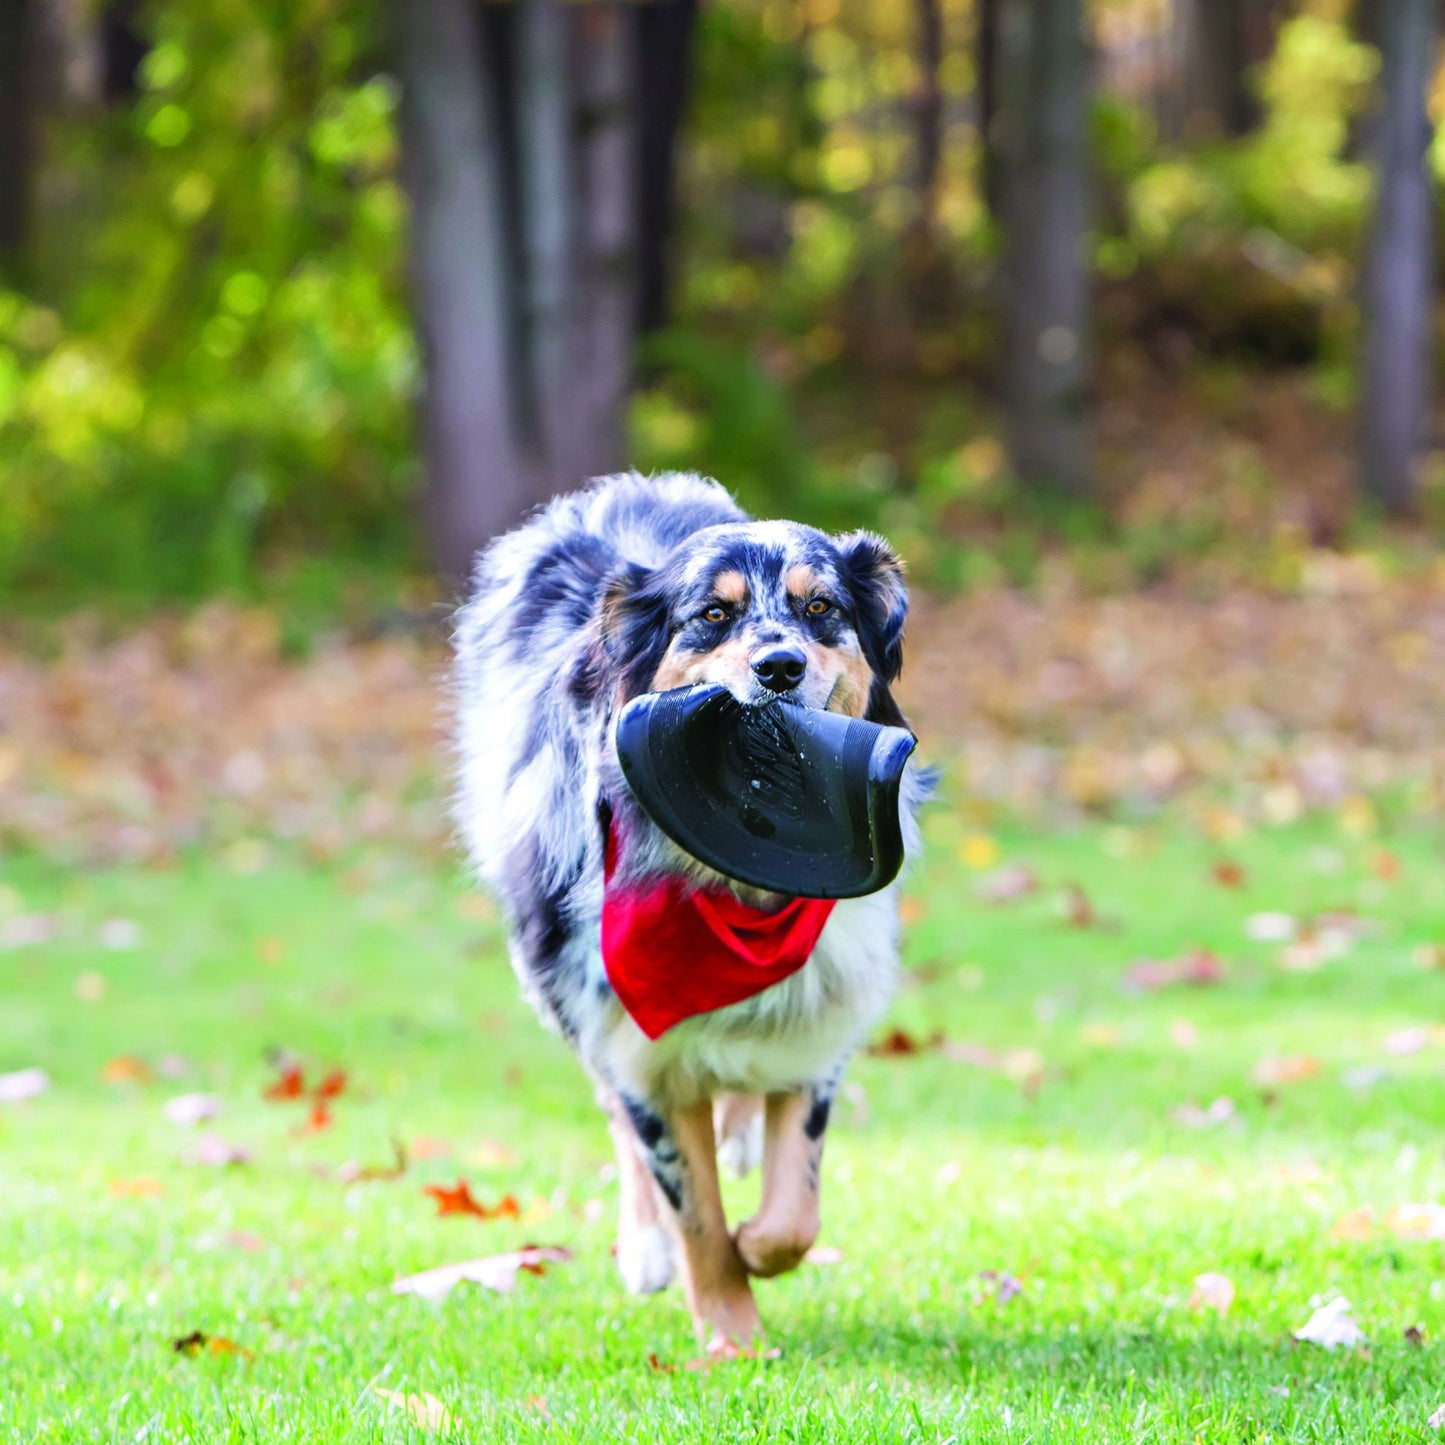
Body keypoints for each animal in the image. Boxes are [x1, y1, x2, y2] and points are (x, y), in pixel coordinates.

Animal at [453, 471, 924, 1340]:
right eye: (711, 615)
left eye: (819, 607)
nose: (779, 666)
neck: (738, 898)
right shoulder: (636, 1044)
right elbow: (695, 1213)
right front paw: (731, 1337)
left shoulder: (823, 1013)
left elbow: (793, 1211)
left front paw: (758, 1243)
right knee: (615, 1112)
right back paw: (644, 1246)